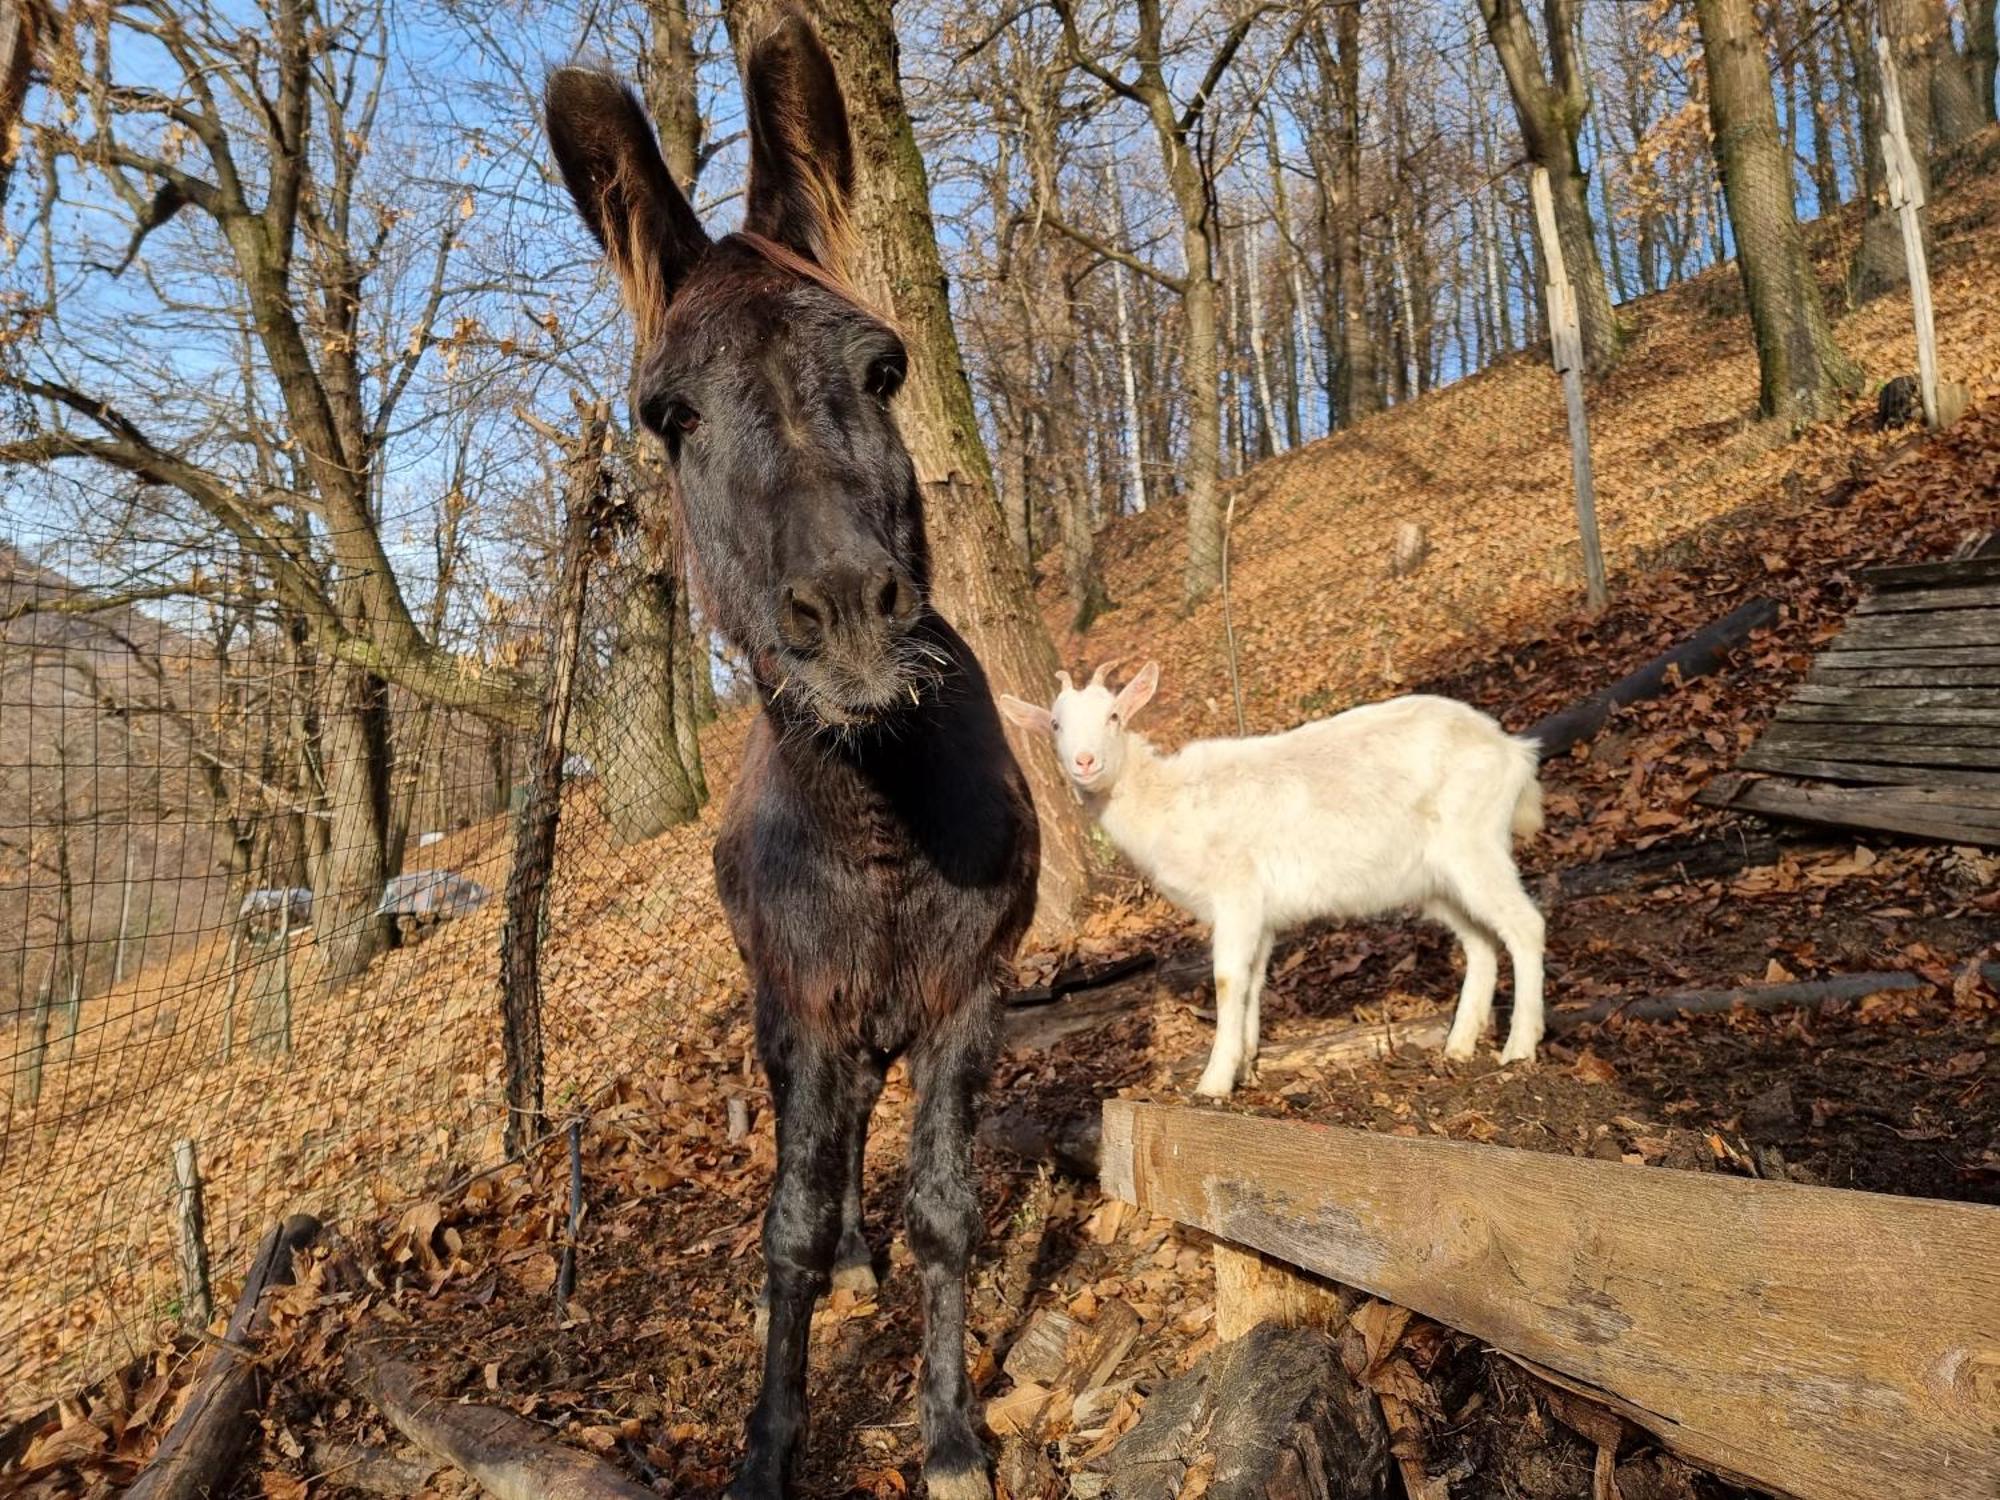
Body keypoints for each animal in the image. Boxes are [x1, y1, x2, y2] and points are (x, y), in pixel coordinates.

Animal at [1000, 664, 1544, 1096]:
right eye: (1055, 724)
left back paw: (1519, 1047)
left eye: (1114, 716)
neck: (1168, 803)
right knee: (1480, 941)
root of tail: (1513, 750)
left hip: (1473, 843)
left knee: (1525, 926)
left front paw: (1213, 1083)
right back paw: (1459, 1046)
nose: (1085, 762)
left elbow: (1226, 979)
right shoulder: (1259, 912)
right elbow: (1253, 980)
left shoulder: (1236, 892)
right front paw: (1245, 1065)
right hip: (1436, 879)